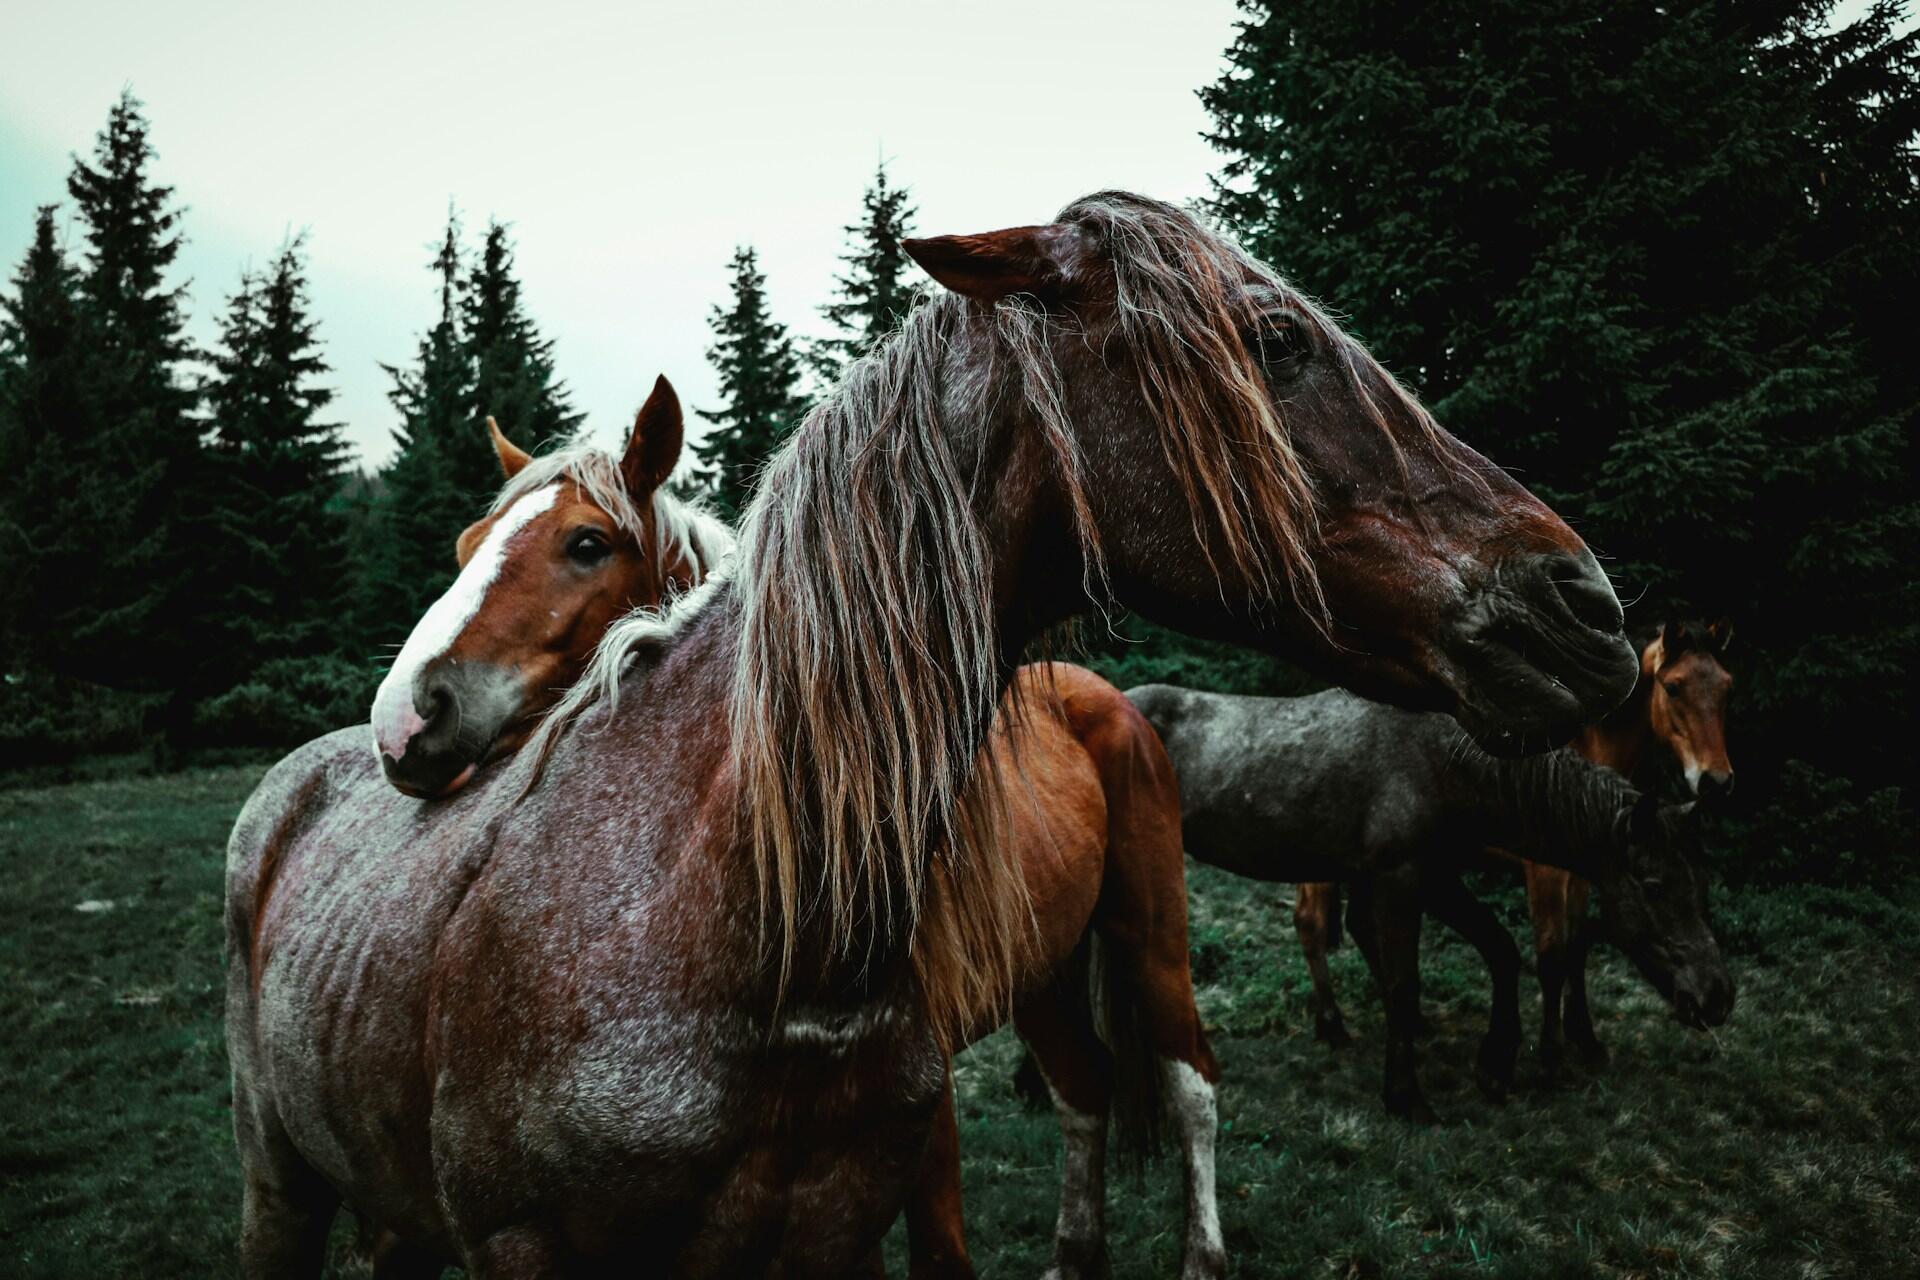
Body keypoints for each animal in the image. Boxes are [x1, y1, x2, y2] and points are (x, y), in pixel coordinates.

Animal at [226, 191, 1640, 1277]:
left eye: (583, 543)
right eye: (1279, 338)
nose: (1587, 602)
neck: (740, 902)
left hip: (1142, 926)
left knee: (1178, 1082)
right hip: (288, 1187)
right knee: (1092, 1084)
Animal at [1128, 684, 1735, 1123]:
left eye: (1702, 884)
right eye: (1653, 884)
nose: (1718, 998)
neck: (1452, 763)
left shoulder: (1439, 878)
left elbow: (1500, 950)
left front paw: (1495, 1064)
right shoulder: (1404, 880)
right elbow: (1406, 982)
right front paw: (1406, 1097)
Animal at [1292, 617, 1735, 1075]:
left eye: (1726, 687)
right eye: (1674, 687)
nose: (1716, 781)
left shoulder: (1588, 870)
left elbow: (1576, 946)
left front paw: (1585, 1038)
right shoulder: (1545, 873)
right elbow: (1552, 955)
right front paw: (1551, 1053)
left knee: (1359, 923)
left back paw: (1410, 1019)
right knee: (1310, 921)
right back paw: (1333, 1024)